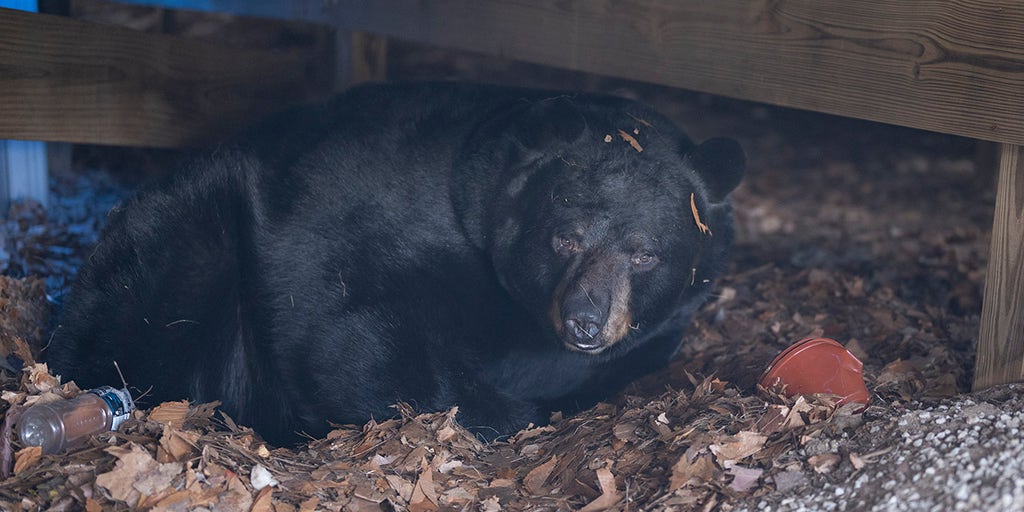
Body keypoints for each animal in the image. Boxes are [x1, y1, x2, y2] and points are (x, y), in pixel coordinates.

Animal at [45, 81, 745, 445]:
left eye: (645, 253)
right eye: (565, 238)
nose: (584, 321)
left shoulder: (664, 323)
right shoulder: (368, 229)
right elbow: (349, 334)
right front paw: (495, 410)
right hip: (184, 242)